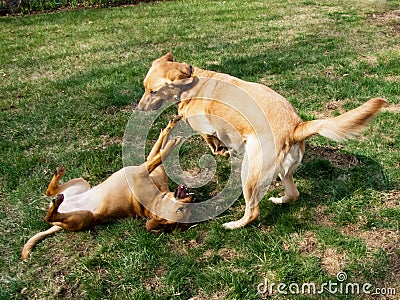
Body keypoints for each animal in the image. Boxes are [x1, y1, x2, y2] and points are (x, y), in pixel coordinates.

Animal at [21, 116, 194, 258]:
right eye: (181, 210)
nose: (193, 198)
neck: (157, 199)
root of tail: (57, 226)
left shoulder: (141, 171)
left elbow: (159, 156)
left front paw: (172, 143)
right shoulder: (149, 169)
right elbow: (158, 149)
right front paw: (170, 127)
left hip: (84, 217)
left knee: (49, 214)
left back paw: (56, 202)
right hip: (82, 182)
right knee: (50, 191)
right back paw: (58, 176)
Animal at [138, 52, 388, 230]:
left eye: (153, 91)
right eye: (144, 87)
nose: (139, 109)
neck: (192, 82)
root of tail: (295, 127)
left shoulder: (206, 127)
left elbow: (210, 138)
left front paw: (219, 149)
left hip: (249, 173)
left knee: (253, 211)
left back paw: (234, 225)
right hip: (282, 171)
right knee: (293, 193)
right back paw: (280, 200)